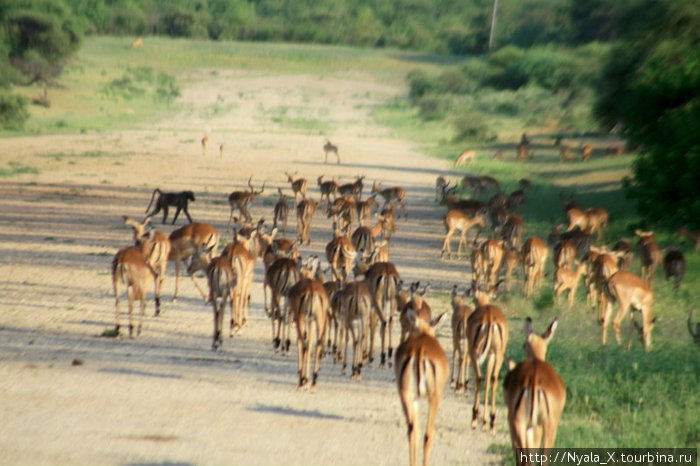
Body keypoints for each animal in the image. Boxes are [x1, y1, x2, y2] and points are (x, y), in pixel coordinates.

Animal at [288, 256, 328, 392]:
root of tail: (311, 289)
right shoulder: (311, 322)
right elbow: (310, 345)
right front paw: (307, 380)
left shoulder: (301, 320)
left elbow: (302, 343)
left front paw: (304, 380)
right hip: (319, 321)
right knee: (318, 344)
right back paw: (313, 383)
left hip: (301, 320)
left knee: (302, 344)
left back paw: (302, 382)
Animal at [394, 308, 448, 466]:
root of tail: (420, 350)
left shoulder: (415, 399)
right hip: (434, 398)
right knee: (428, 433)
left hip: (406, 395)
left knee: (412, 430)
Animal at [468, 288, 512, 434]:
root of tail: (490, 318)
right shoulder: (491, 354)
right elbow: (488, 381)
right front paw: (485, 421)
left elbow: (479, 378)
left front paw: (478, 418)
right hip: (498, 354)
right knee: (493, 379)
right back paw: (492, 422)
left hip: (475, 352)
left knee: (478, 378)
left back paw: (474, 419)